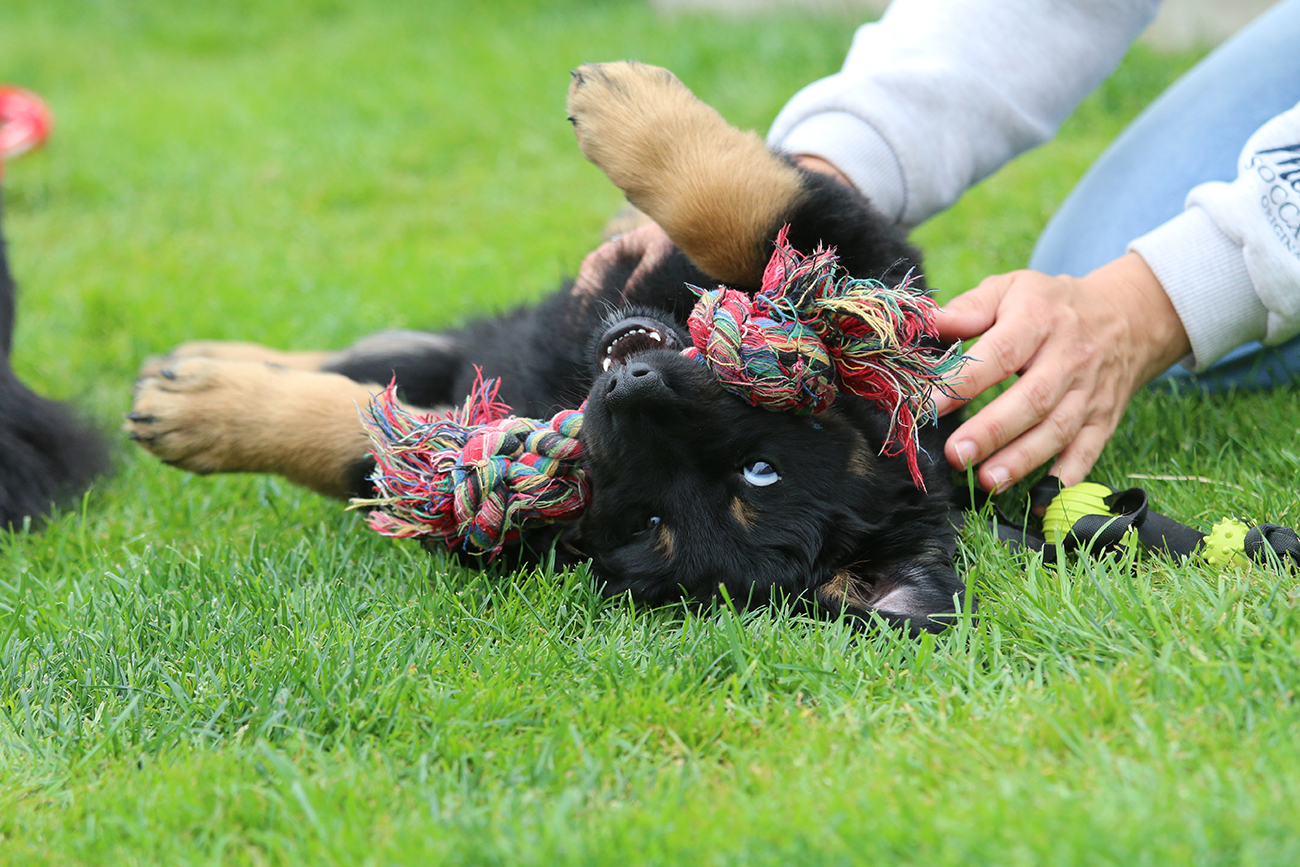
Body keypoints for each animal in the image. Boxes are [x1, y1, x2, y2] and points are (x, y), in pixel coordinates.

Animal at [127, 62, 966, 632]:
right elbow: (741, 213)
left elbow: (374, 442)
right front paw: (625, 104)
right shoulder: (871, 257)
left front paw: (206, 417)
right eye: (761, 469)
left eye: (647, 522)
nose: (626, 392)